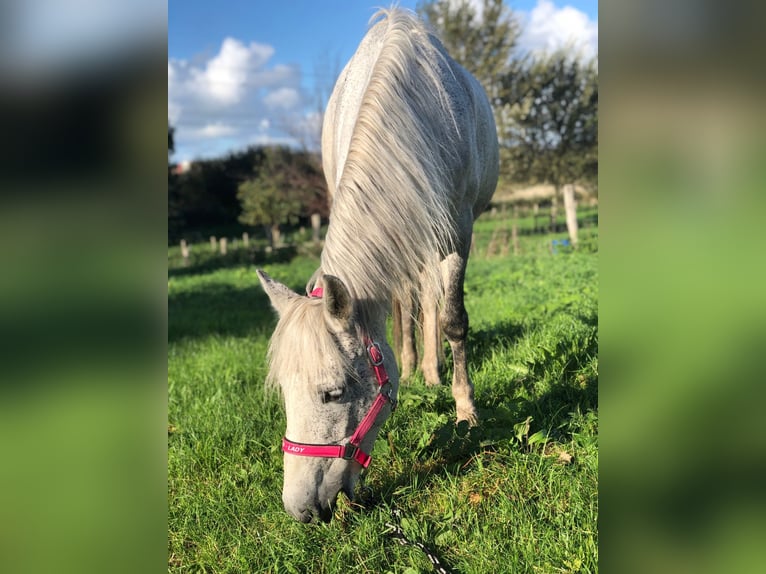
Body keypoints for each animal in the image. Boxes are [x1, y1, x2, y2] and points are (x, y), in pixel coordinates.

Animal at [258, 6, 498, 524]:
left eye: (333, 393)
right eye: (284, 391)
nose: (299, 510)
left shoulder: (458, 231)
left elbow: (453, 320)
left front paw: (466, 410)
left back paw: (431, 371)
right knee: (408, 301)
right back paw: (413, 364)